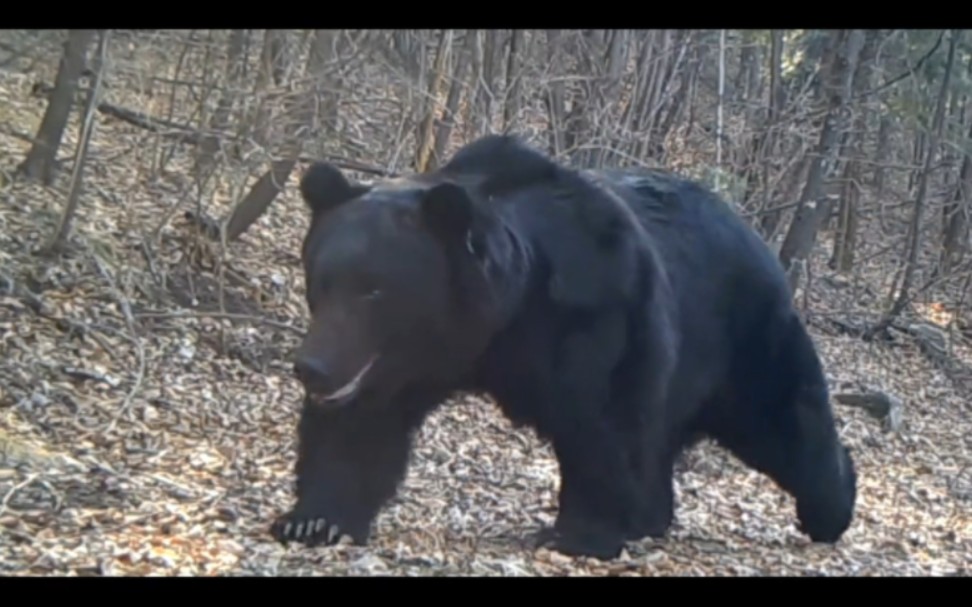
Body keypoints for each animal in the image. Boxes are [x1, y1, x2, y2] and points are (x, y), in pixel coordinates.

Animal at [270, 133, 856, 560]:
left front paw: (578, 533)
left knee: (783, 417)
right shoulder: (403, 362)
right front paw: (313, 519)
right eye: (320, 280)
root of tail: (752, 233)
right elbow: (360, 424)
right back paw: (651, 517)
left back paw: (831, 507)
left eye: (374, 289)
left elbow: (603, 423)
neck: (500, 318)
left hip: (740, 336)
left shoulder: (596, 310)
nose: (312, 368)